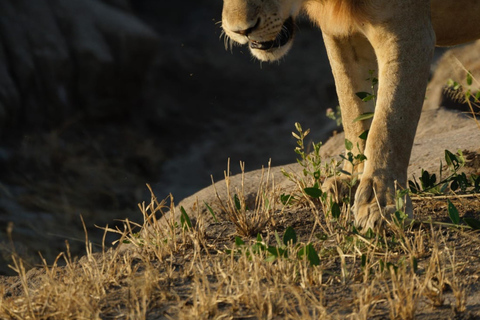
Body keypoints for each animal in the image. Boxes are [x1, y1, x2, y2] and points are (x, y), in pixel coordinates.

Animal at [222, 0, 480, 230]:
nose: (240, 31)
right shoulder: (339, 31)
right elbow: (353, 107)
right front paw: (352, 181)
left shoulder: (407, 31)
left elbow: (390, 122)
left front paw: (382, 203)